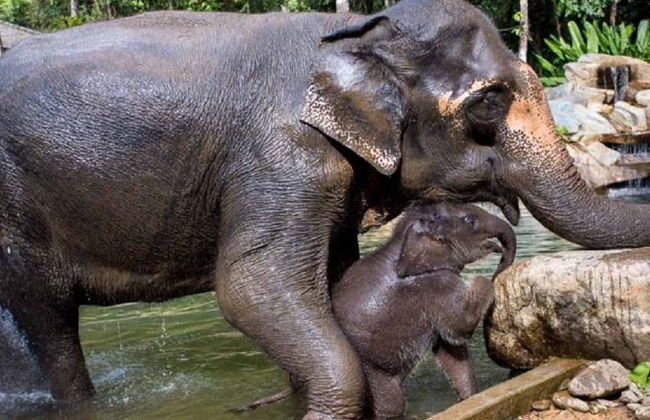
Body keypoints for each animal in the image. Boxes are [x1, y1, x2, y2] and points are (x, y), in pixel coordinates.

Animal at [332, 201, 515, 418]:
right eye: (469, 220)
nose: (500, 263)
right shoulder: (437, 285)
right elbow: (460, 326)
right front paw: (483, 280)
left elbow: (451, 351)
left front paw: (469, 398)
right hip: (372, 374)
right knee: (392, 404)